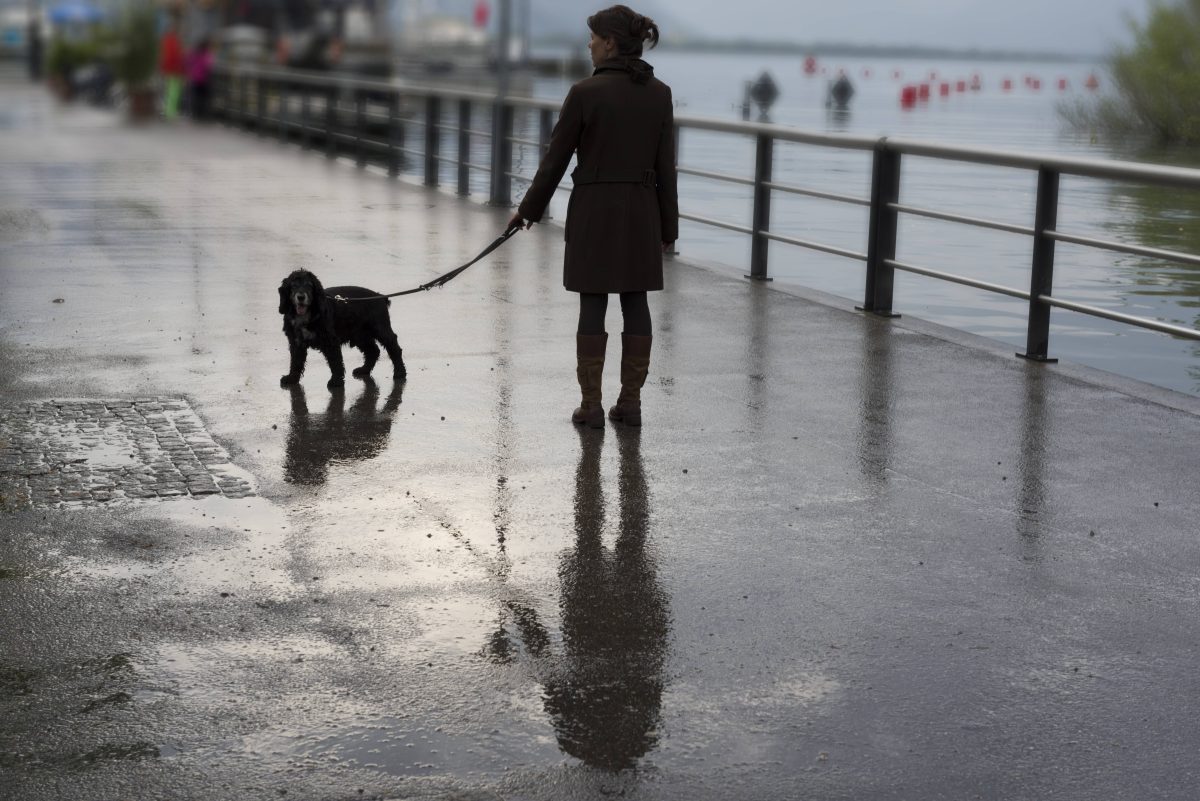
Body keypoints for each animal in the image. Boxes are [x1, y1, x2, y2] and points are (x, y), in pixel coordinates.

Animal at [276, 268, 408, 390]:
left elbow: (335, 362)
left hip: (380, 328)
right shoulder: (296, 342)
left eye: (309, 285)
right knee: (373, 351)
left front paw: (336, 381)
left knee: (394, 347)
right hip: (360, 335)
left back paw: (400, 372)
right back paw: (364, 370)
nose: (301, 297)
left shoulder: (331, 341)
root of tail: (380, 296)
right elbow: (296, 362)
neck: (307, 315)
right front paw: (291, 378)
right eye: (293, 286)